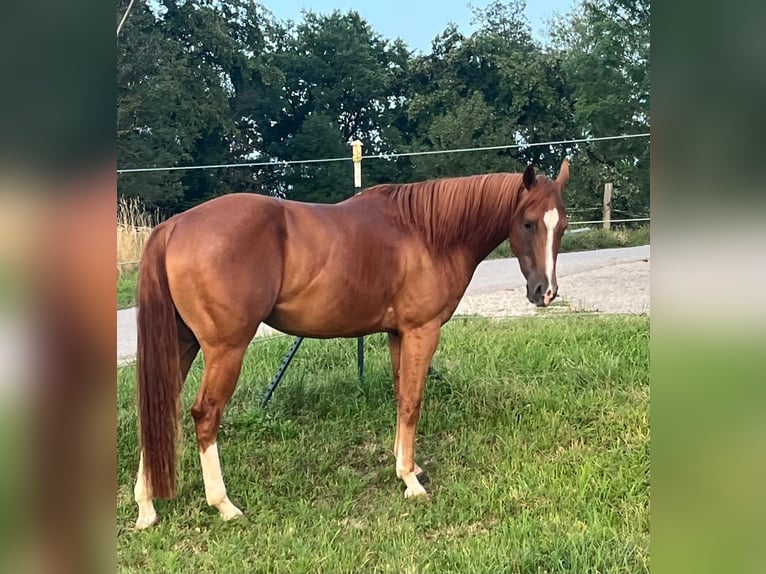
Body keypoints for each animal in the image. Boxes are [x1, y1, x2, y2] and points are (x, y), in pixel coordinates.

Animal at [133, 159, 570, 529]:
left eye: (562, 226)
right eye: (528, 223)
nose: (545, 292)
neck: (427, 232)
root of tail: (175, 226)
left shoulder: (398, 334)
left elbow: (400, 394)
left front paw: (407, 467)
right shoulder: (421, 331)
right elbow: (412, 401)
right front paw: (411, 481)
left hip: (182, 345)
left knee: (159, 408)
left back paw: (147, 507)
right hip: (225, 350)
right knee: (205, 415)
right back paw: (224, 504)